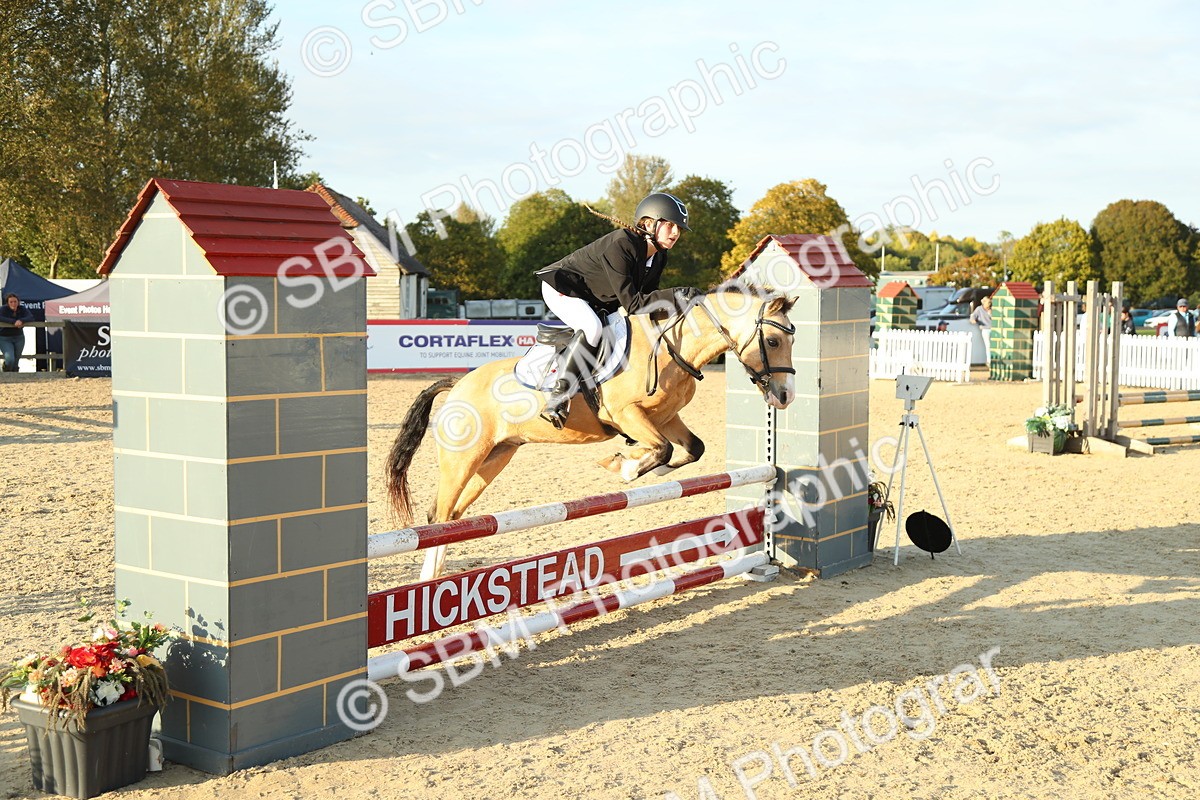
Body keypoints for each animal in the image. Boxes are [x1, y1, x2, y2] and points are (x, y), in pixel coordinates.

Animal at [385, 285, 798, 579]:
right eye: (773, 341)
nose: (785, 396)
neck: (672, 346)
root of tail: (457, 384)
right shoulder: (626, 414)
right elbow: (661, 449)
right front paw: (624, 465)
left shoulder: (666, 419)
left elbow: (690, 449)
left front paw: (641, 465)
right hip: (462, 458)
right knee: (439, 515)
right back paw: (428, 580)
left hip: (495, 458)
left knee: (453, 515)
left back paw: (435, 576)